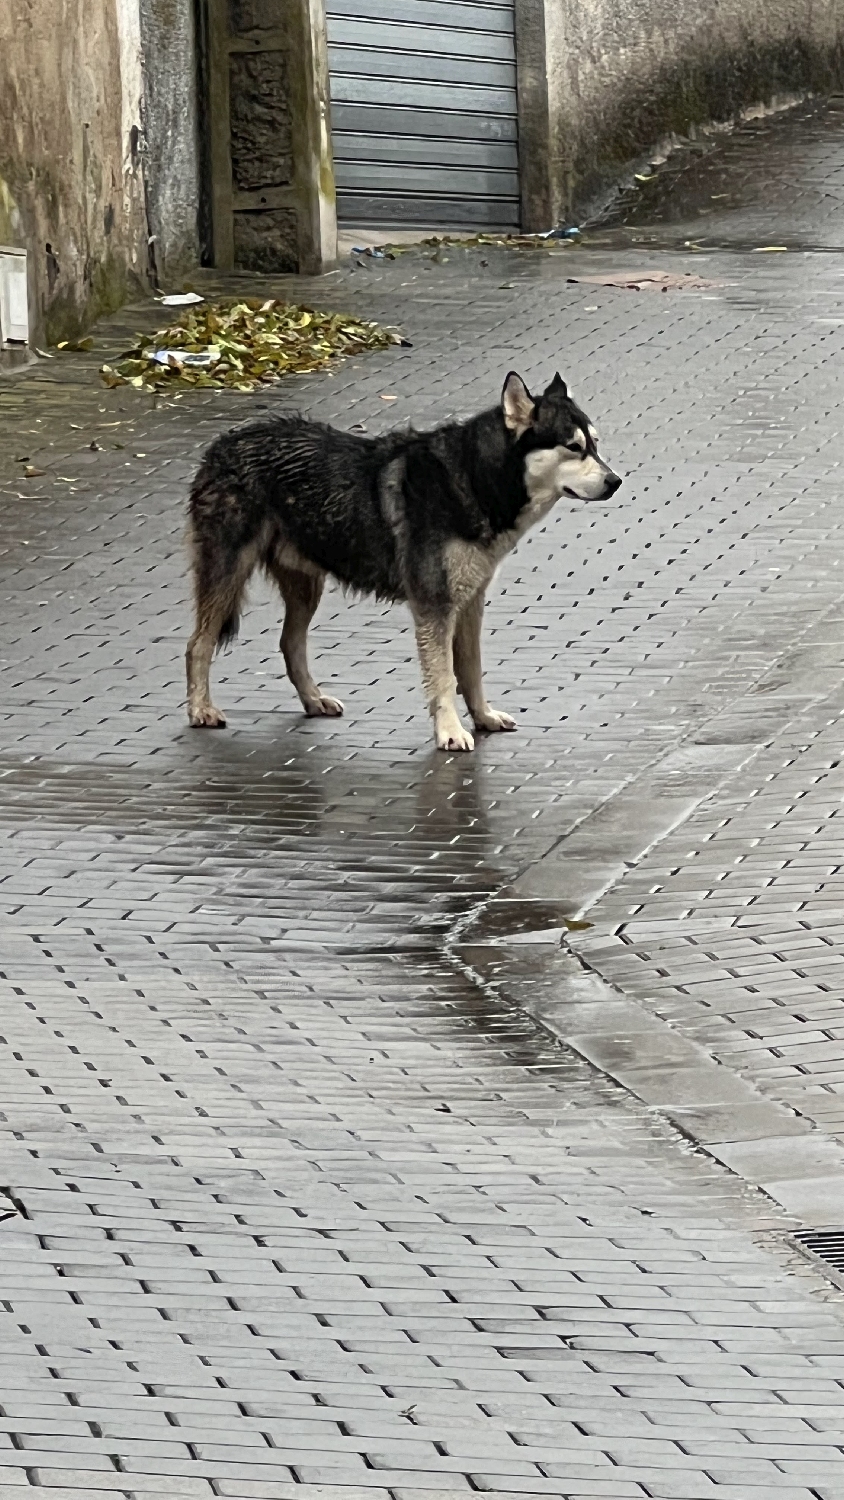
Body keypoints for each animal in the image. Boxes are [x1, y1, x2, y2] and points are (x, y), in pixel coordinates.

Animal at [185, 372, 620, 747]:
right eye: (573, 447)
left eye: (596, 445)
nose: (616, 481)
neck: (475, 479)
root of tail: (220, 445)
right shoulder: (435, 604)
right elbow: (443, 677)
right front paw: (450, 732)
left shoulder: (470, 601)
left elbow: (470, 670)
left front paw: (483, 717)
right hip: (228, 572)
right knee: (198, 645)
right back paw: (201, 709)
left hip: (305, 585)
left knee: (290, 644)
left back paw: (313, 699)